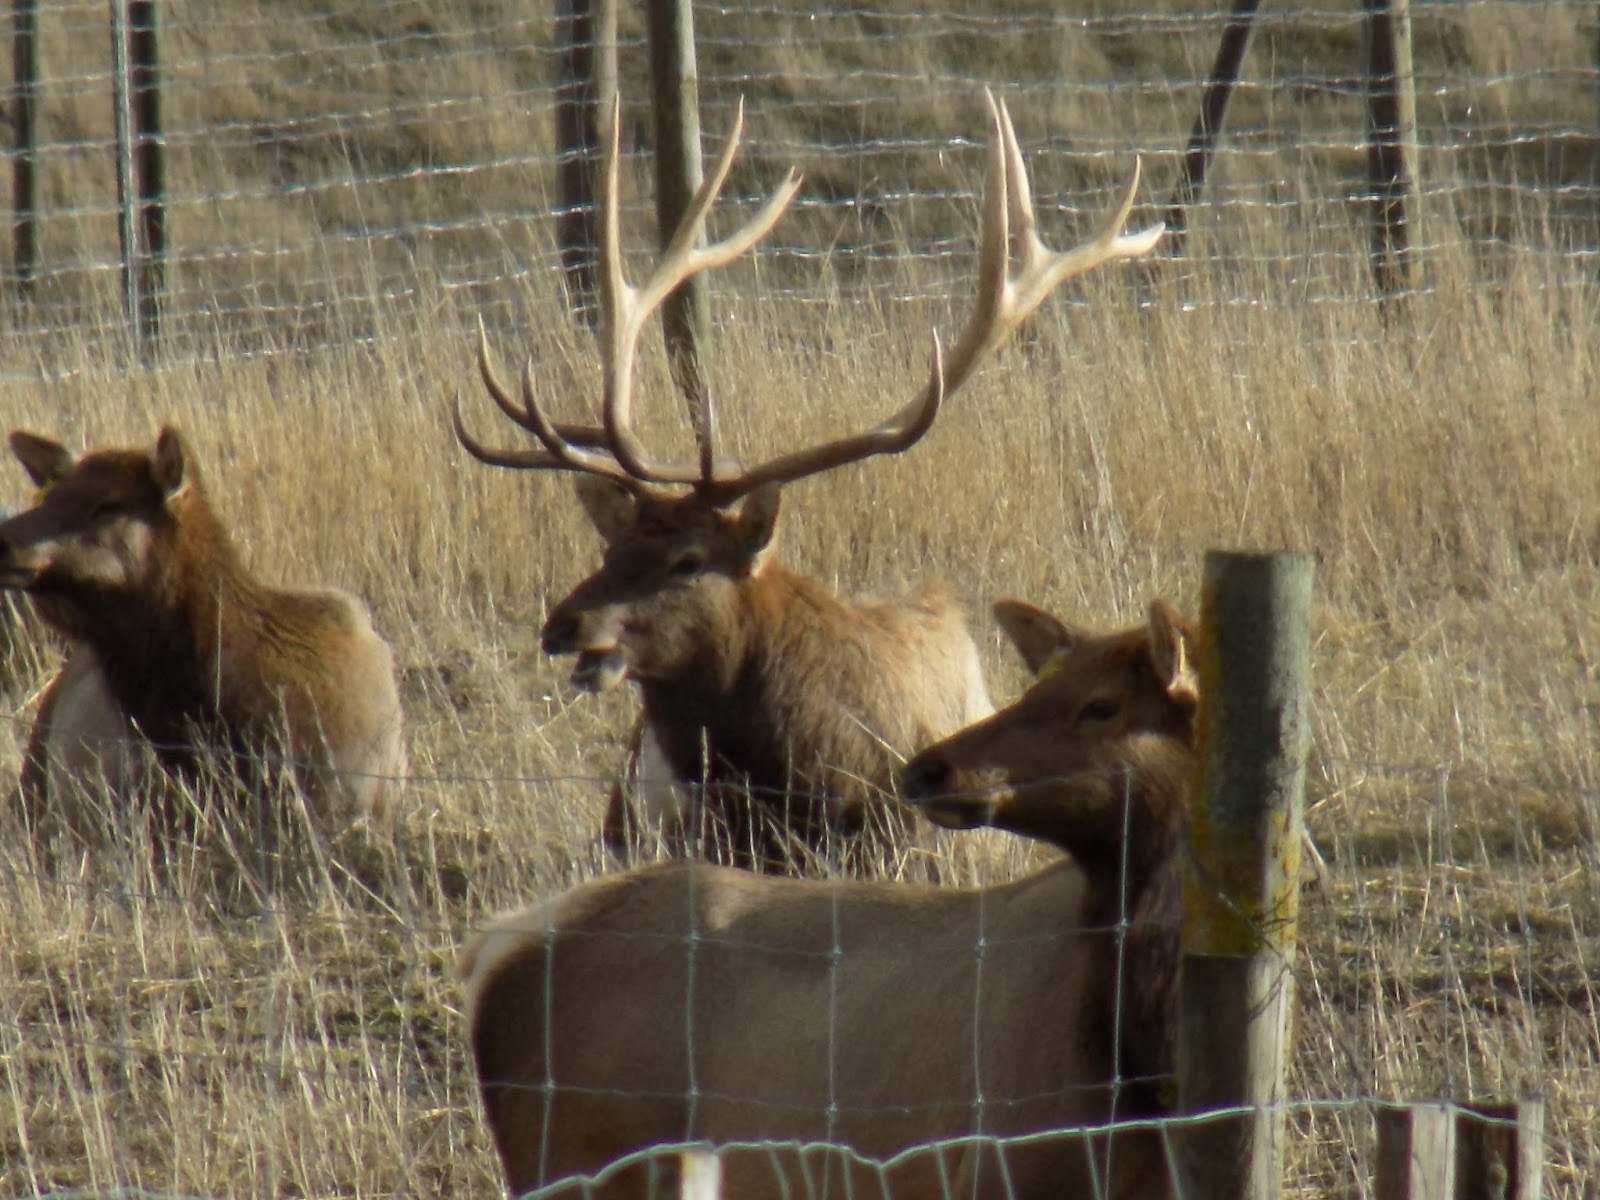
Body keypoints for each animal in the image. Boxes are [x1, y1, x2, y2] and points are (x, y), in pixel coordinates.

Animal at [458, 597, 1197, 1200]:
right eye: (1040, 686)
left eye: (1103, 704)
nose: (929, 768)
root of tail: (493, 948)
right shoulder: (1000, 1167)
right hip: (578, 1163)